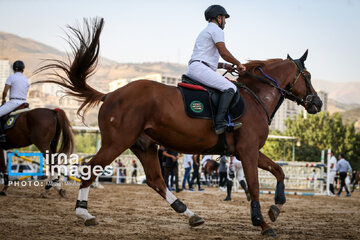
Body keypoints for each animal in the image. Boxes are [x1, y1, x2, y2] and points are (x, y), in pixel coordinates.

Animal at [36, 17, 322, 237]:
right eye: (307, 76)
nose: (317, 103)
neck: (255, 97)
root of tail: (111, 94)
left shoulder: (247, 151)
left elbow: (279, 172)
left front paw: (277, 207)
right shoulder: (248, 151)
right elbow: (253, 186)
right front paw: (262, 223)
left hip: (144, 145)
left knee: (156, 180)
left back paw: (190, 214)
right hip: (117, 143)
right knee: (90, 168)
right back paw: (84, 213)